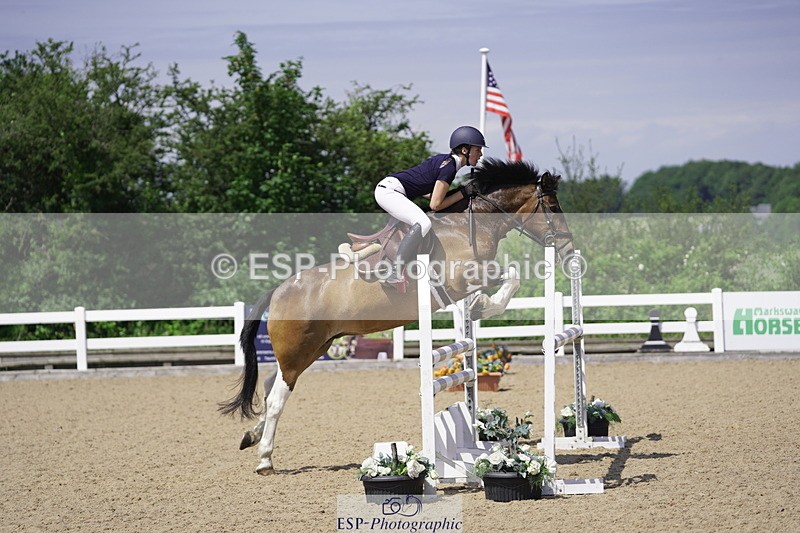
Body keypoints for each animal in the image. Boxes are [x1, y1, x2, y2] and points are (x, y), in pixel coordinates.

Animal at [219, 158, 574, 475]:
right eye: (553, 206)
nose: (569, 250)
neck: (469, 227)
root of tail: (279, 290)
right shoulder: (464, 277)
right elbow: (511, 277)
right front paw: (484, 306)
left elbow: (506, 281)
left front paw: (478, 307)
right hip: (298, 351)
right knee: (277, 397)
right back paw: (265, 459)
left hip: (314, 348)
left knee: (270, 383)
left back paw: (251, 436)